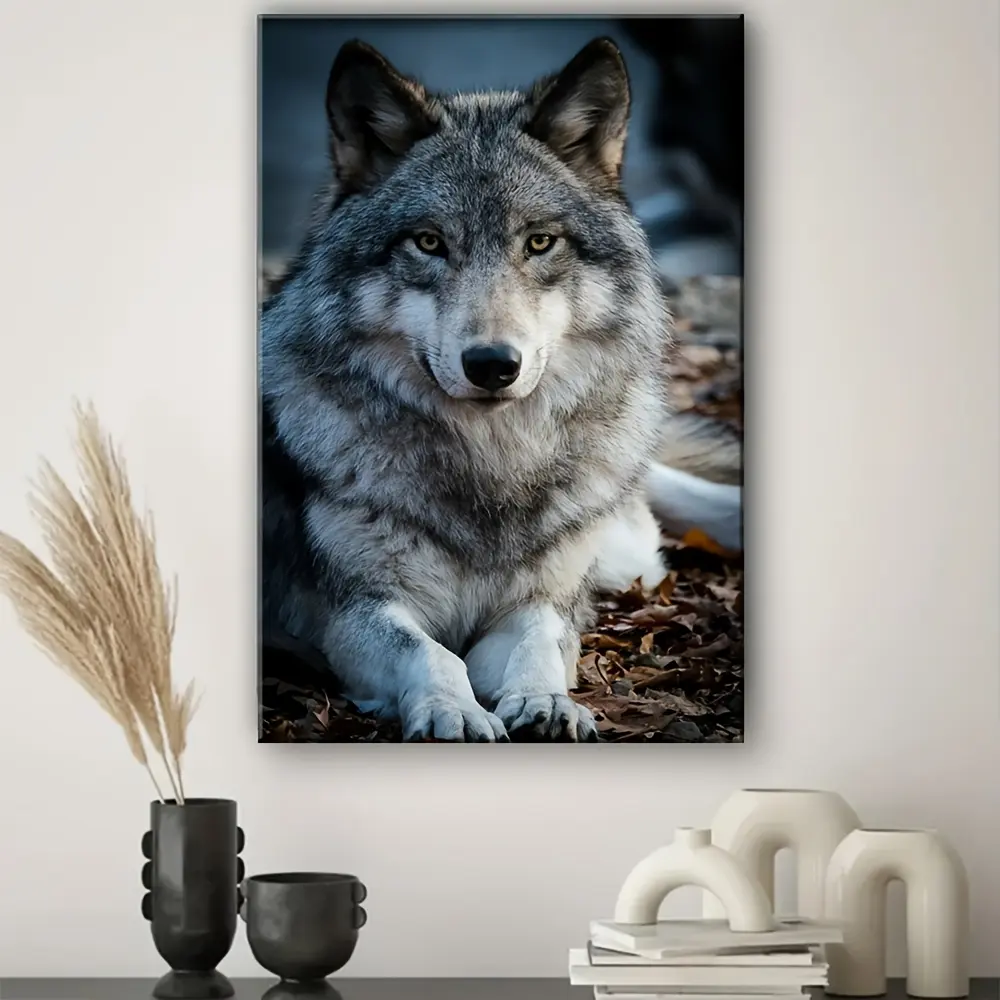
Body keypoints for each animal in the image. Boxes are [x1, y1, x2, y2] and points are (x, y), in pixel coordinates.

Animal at [260, 37, 742, 742]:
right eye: (429, 242)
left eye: (538, 242)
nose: (492, 364)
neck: (493, 466)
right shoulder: (353, 612)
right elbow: (430, 653)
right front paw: (453, 710)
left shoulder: (541, 601)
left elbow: (539, 641)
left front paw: (546, 703)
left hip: (624, 548)